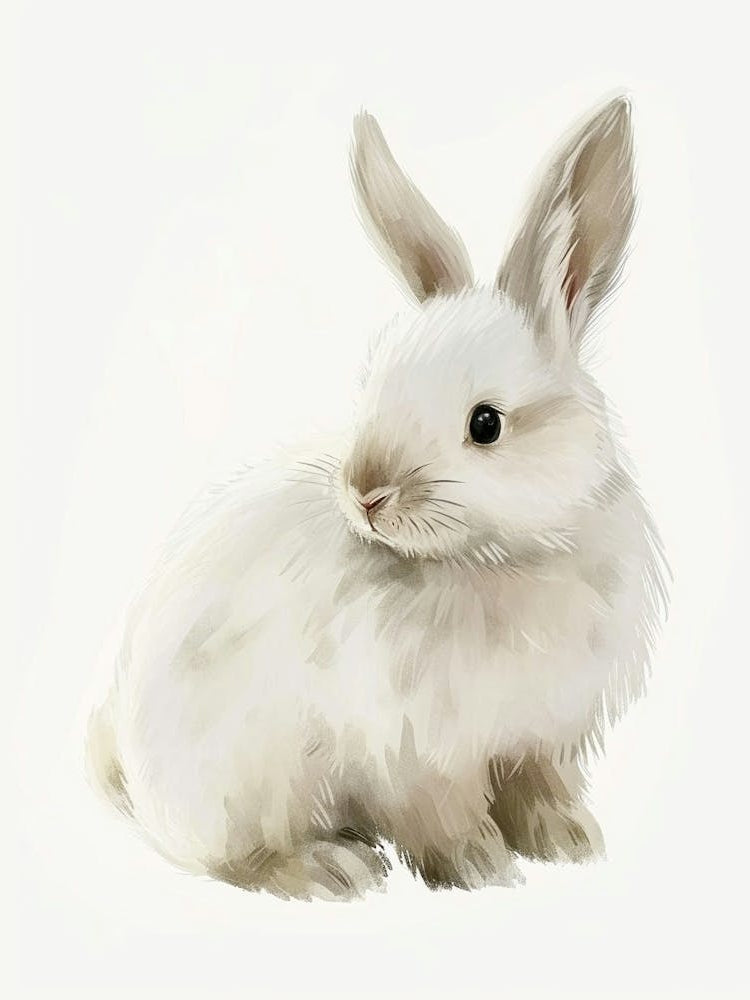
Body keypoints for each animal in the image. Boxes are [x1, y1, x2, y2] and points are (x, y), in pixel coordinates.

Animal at [86, 95, 668, 901]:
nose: (364, 493)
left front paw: (569, 841)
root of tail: (135, 782)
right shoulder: (413, 751)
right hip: (246, 786)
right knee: (234, 859)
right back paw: (332, 868)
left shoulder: (538, 737)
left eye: (485, 424)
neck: (498, 558)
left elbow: (539, 788)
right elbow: (442, 814)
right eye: (373, 388)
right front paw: (481, 867)